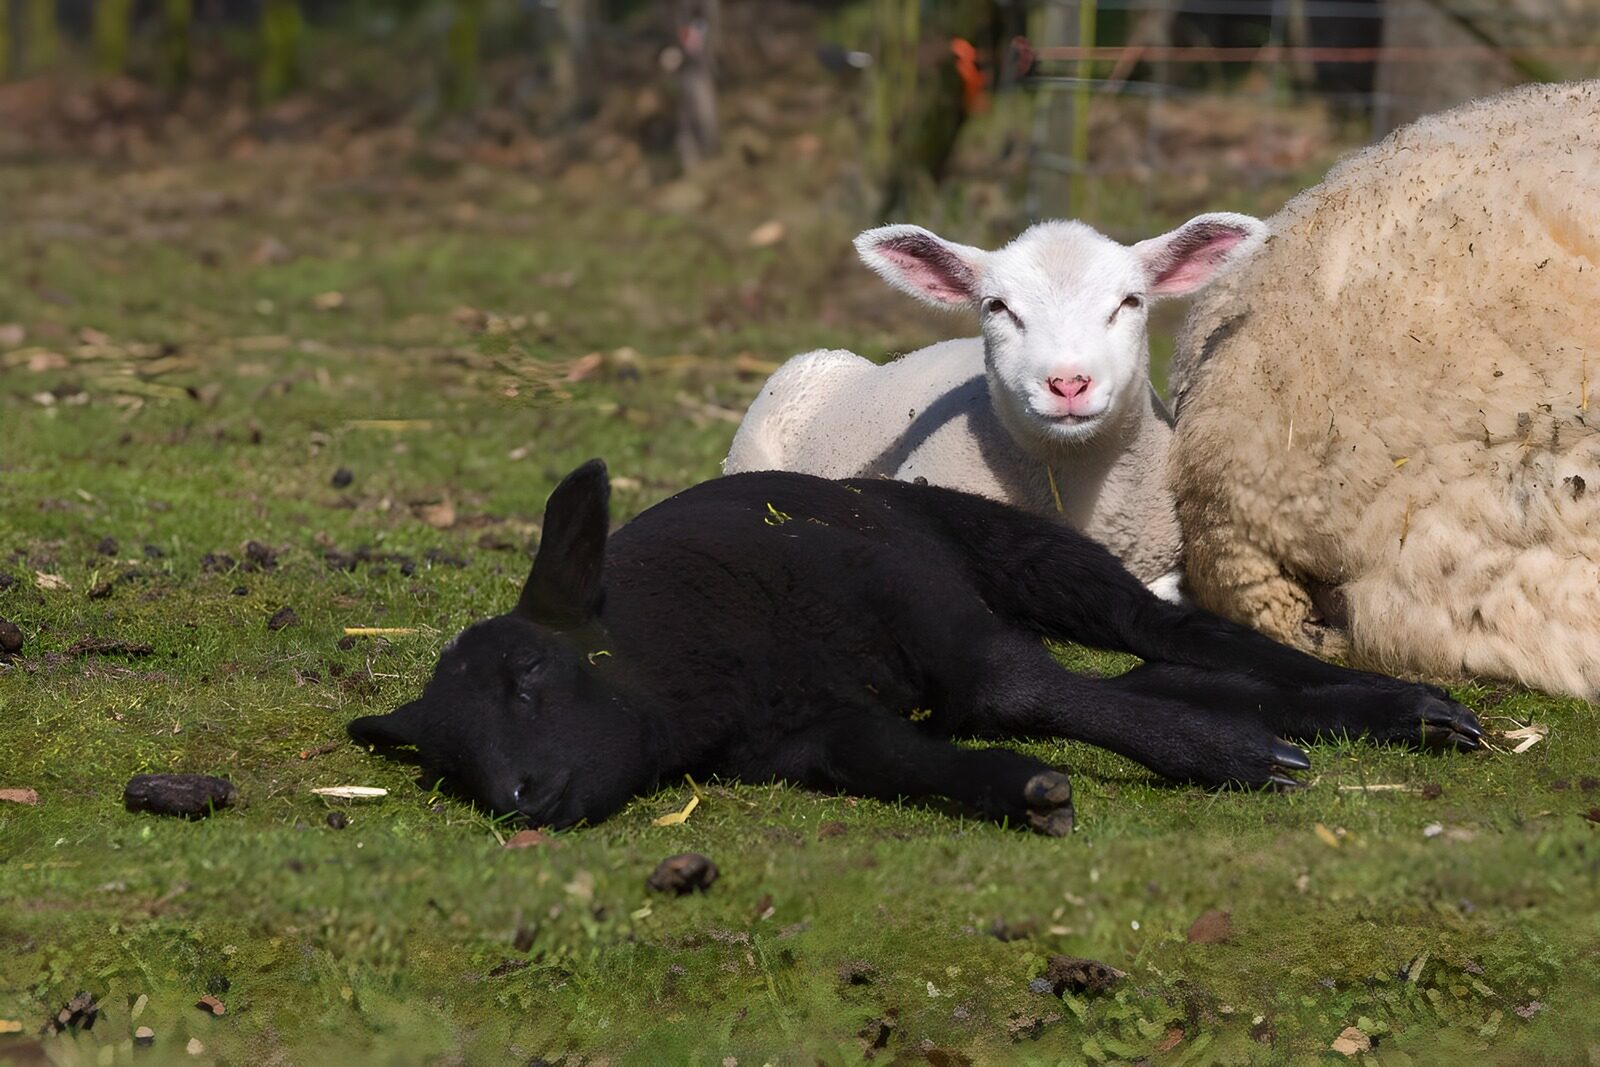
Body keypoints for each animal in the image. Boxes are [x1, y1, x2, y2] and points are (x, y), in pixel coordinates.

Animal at [348, 459, 1481, 834]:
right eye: (448, 762)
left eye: (530, 673)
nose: (519, 799)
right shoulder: (806, 737)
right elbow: (902, 757)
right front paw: (1021, 790)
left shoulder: (917, 605)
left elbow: (1017, 687)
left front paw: (1230, 759)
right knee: (1162, 665)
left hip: (1019, 550)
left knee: (1165, 631)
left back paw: (1398, 705)